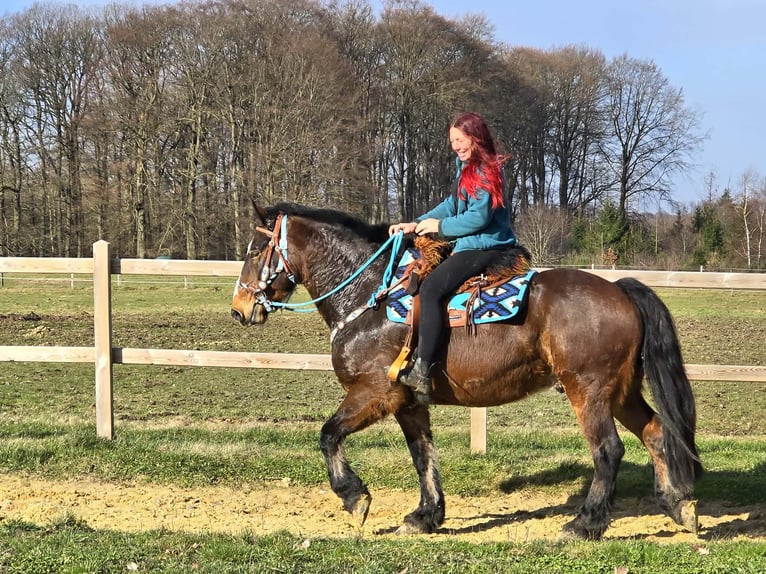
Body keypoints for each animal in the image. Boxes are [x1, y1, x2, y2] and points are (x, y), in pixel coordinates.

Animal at [230, 202, 702, 540]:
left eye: (254, 251)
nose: (239, 309)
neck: (371, 297)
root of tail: (619, 289)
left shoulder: (374, 392)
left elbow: (328, 435)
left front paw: (355, 498)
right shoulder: (408, 402)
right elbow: (423, 455)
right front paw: (425, 516)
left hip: (588, 391)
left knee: (608, 450)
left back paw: (585, 524)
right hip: (620, 392)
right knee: (655, 433)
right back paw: (678, 505)